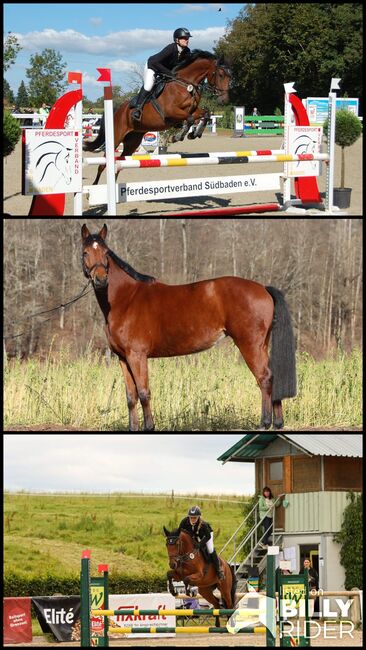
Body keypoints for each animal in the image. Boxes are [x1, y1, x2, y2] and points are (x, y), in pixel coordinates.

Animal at [81, 223, 296, 430]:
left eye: (106, 253)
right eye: (85, 253)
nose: (101, 279)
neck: (126, 299)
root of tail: (263, 288)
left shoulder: (137, 356)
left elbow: (143, 393)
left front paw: (150, 427)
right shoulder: (123, 358)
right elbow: (131, 397)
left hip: (250, 345)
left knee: (264, 378)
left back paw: (265, 423)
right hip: (261, 345)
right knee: (272, 376)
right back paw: (278, 423)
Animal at [84, 50, 230, 185]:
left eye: (230, 76)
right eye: (221, 75)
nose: (224, 100)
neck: (185, 85)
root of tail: (117, 110)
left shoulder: (194, 111)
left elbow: (205, 114)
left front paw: (194, 134)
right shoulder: (170, 112)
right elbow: (189, 119)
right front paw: (177, 136)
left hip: (132, 141)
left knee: (120, 164)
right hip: (116, 137)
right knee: (103, 164)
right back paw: (95, 186)